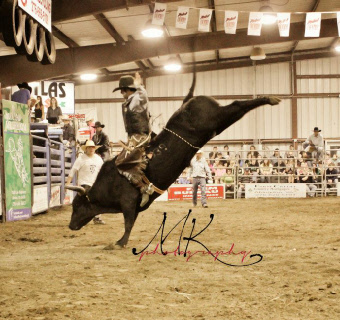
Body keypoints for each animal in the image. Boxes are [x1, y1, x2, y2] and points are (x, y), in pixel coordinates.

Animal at [65, 74, 280, 249]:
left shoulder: (128, 202)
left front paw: (120, 243)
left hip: (216, 119)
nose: (70, 225)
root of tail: (187, 103)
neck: (110, 182)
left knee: (236, 106)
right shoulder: (134, 206)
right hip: (215, 127)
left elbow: (128, 223)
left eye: (77, 206)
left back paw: (270, 99)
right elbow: (131, 221)